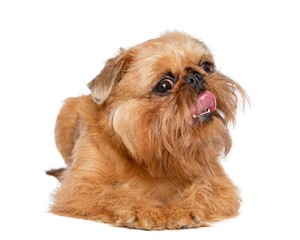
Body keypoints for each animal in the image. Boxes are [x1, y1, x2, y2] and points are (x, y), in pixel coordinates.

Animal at [47, 31, 246, 230]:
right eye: (164, 86)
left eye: (207, 67)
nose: (195, 77)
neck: (153, 158)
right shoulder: (79, 187)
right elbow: (111, 193)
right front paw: (140, 210)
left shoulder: (220, 184)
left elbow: (204, 190)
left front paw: (184, 209)